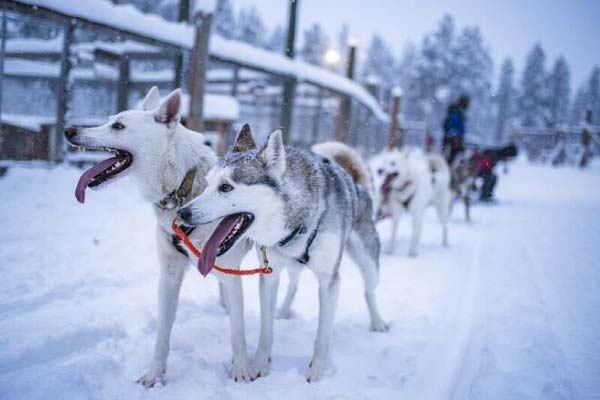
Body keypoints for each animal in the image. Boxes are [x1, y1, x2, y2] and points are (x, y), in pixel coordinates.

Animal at [63, 86, 255, 386]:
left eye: (118, 126)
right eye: (109, 120)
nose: (69, 130)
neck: (183, 188)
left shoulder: (230, 269)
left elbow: (238, 332)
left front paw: (242, 371)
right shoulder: (169, 274)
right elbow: (163, 333)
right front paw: (154, 375)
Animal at [177, 130, 390, 382]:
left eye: (226, 187)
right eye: (208, 183)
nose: (182, 212)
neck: (298, 223)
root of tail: (357, 186)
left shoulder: (329, 281)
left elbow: (322, 335)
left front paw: (317, 371)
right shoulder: (269, 274)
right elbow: (266, 330)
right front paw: (260, 364)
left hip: (369, 264)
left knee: (369, 291)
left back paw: (377, 322)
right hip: (293, 267)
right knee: (294, 283)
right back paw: (285, 310)